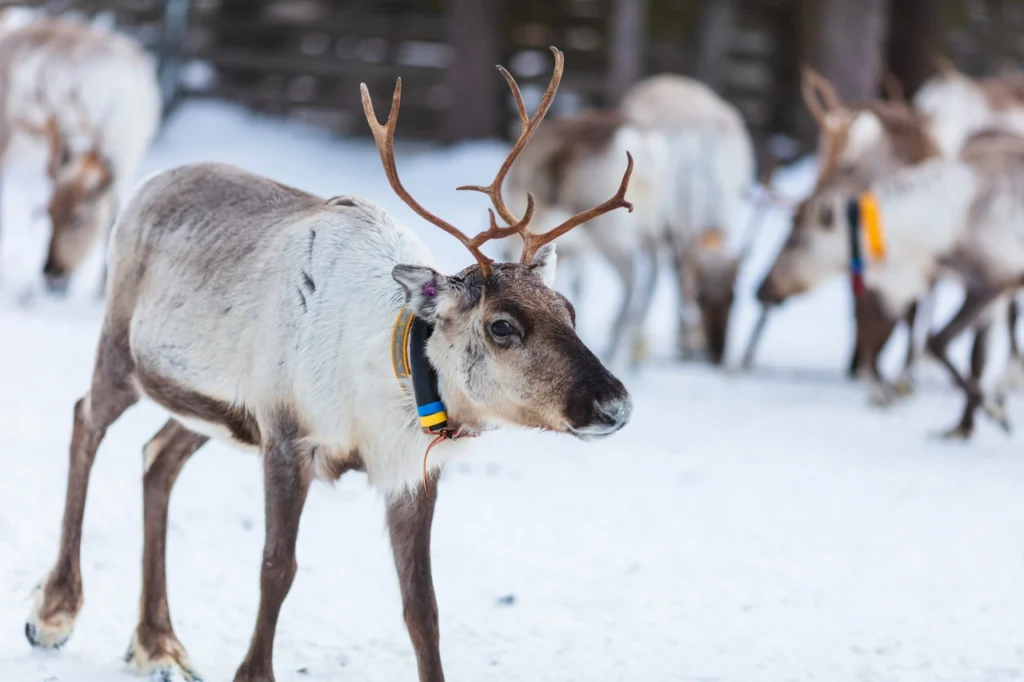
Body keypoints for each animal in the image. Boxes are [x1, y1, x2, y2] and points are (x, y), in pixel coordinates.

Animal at [0, 15, 161, 294]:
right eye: (49, 212)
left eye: (77, 219)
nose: (52, 275)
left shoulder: (126, 163)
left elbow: (113, 219)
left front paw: (100, 287)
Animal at [24, 47, 635, 682]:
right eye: (502, 326)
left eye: (569, 310)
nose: (615, 403)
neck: (383, 388)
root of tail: (150, 181)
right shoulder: (286, 437)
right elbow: (277, 568)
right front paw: (252, 672)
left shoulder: (411, 473)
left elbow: (422, 607)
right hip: (121, 352)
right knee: (86, 421)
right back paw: (55, 613)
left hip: (214, 412)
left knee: (157, 459)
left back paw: (157, 642)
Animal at [757, 126, 1024, 438]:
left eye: (795, 240)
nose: (760, 289)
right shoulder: (984, 289)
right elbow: (975, 358)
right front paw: (963, 427)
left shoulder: (995, 280)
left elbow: (936, 342)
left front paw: (996, 413)